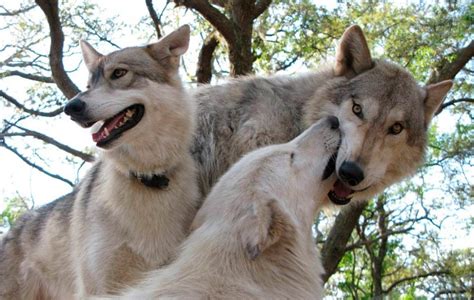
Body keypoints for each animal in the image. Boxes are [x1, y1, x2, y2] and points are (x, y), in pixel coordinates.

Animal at [0, 25, 200, 298]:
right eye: (87, 85)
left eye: (118, 73)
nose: (71, 107)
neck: (145, 177)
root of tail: (14, 227)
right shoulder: (98, 287)